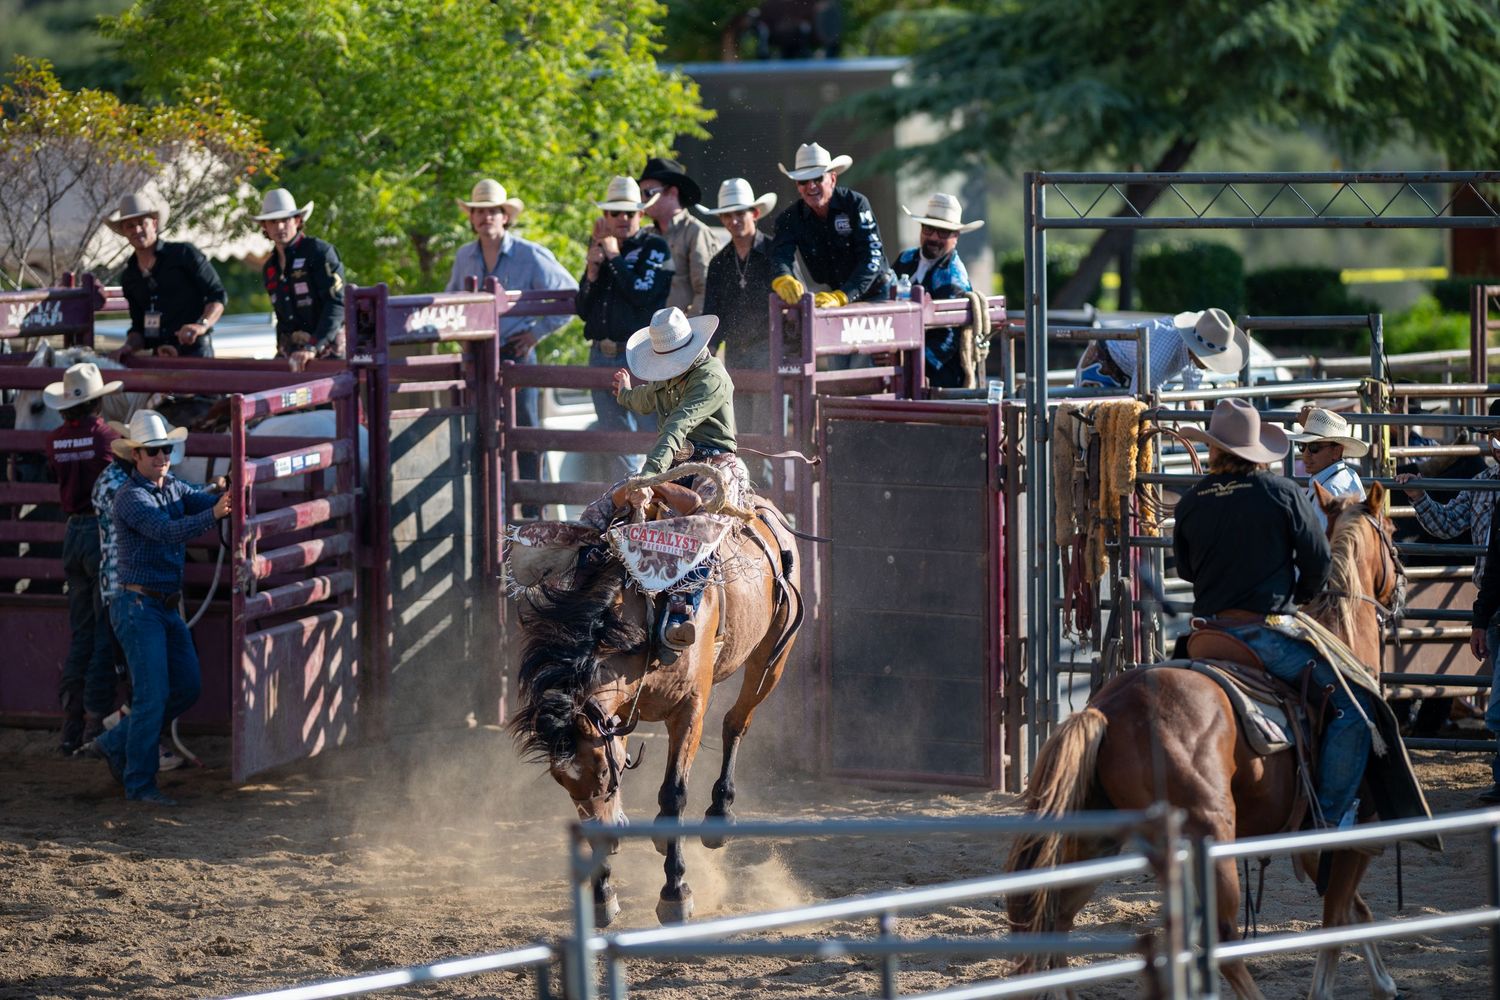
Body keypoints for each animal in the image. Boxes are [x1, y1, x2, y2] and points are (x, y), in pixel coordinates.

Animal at [509, 481, 802, 926]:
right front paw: (602, 898)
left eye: (600, 774)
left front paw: (675, 893)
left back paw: (718, 815)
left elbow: (673, 794)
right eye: (563, 782)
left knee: (737, 722)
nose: (605, 839)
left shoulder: (689, 710)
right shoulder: (612, 719)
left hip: (772, 658)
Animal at [1006, 483, 1406, 1000]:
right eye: (1393, 529)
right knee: (1221, 937)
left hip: (1097, 837)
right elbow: (1338, 918)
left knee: (1056, 916)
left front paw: (1383, 980)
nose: (1401, 589)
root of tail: (1107, 708)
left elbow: (1355, 909)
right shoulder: (1350, 836)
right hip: (1208, 834)